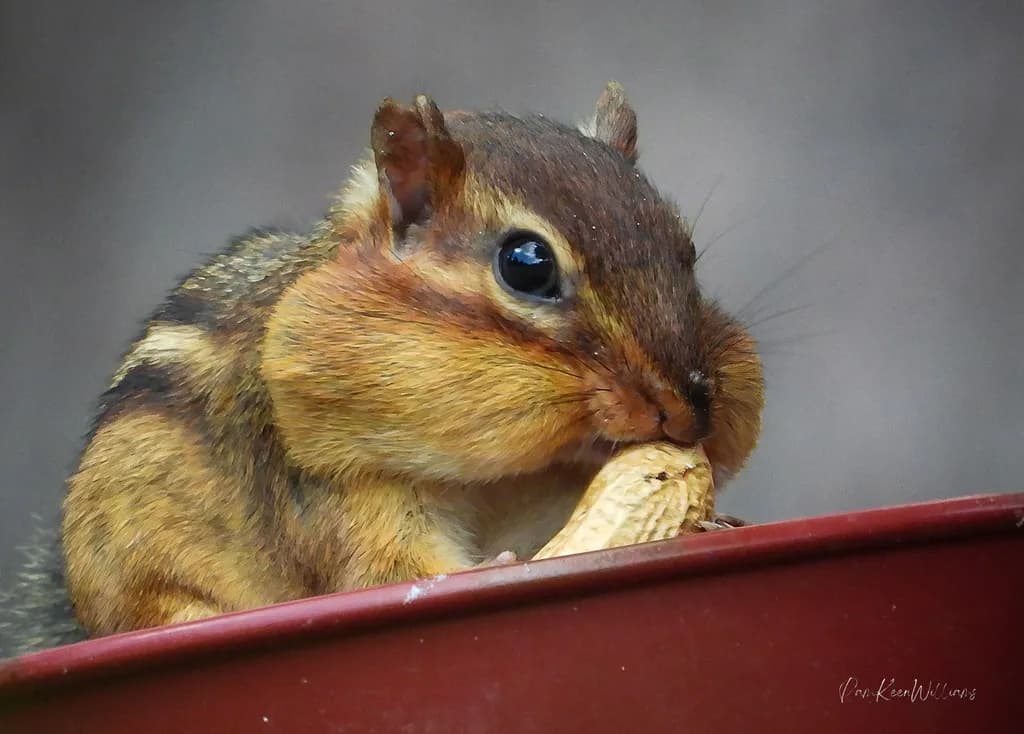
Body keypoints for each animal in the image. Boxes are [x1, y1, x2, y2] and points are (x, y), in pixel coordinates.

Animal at [0, 82, 763, 657]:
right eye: (527, 263)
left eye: (685, 248)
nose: (691, 408)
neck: (504, 479)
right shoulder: (345, 488)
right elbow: (388, 567)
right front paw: (495, 569)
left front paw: (716, 524)